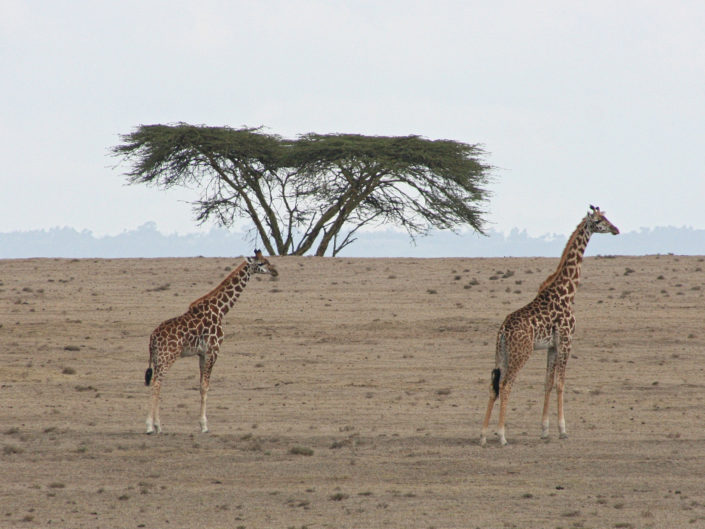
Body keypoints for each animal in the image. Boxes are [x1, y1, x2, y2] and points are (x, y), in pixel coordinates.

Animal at [144, 250, 278, 434]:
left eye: (267, 260)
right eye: (261, 263)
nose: (275, 271)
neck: (220, 310)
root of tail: (152, 339)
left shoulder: (202, 353)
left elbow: (201, 385)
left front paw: (202, 423)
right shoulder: (213, 351)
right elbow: (205, 386)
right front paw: (204, 425)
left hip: (159, 359)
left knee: (158, 383)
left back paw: (158, 425)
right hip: (167, 357)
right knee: (156, 383)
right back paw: (150, 426)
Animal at [480, 206, 619, 446]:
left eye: (607, 217)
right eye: (599, 220)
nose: (615, 229)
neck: (568, 291)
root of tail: (503, 330)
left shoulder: (552, 346)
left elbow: (548, 382)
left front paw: (545, 430)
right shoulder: (566, 340)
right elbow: (561, 383)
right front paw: (563, 430)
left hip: (502, 354)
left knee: (493, 386)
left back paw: (483, 436)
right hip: (521, 353)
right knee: (506, 385)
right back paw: (502, 436)